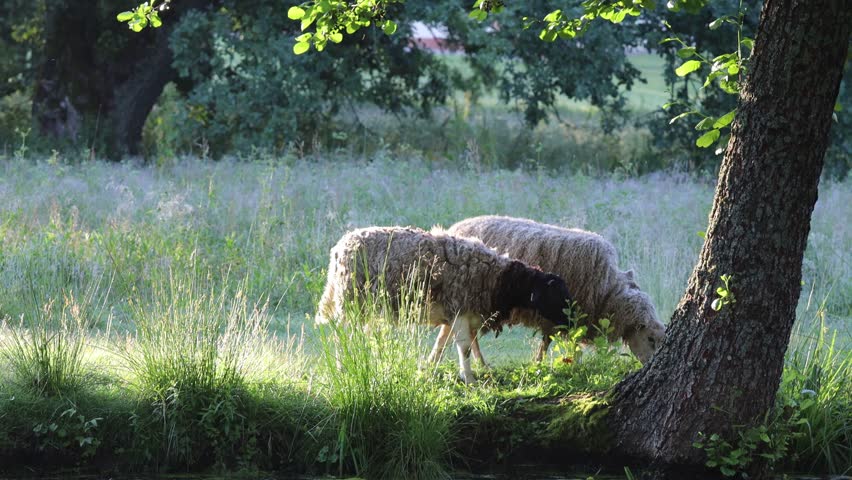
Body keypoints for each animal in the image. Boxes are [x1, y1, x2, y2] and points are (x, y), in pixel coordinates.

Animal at [315, 226, 574, 383]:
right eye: (555, 296)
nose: (572, 322)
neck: (500, 279)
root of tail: (339, 248)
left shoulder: (459, 315)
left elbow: (446, 343)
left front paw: (431, 369)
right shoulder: (459, 309)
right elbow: (464, 347)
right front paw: (468, 378)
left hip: (365, 306)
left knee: (360, 335)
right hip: (352, 301)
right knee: (343, 337)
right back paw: (343, 366)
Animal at [447, 215, 665, 364]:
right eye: (650, 339)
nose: (648, 365)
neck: (607, 292)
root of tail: (455, 226)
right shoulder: (564, 314)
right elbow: (554, 344)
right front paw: (548, 364)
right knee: (471, 335)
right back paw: (481, 363)